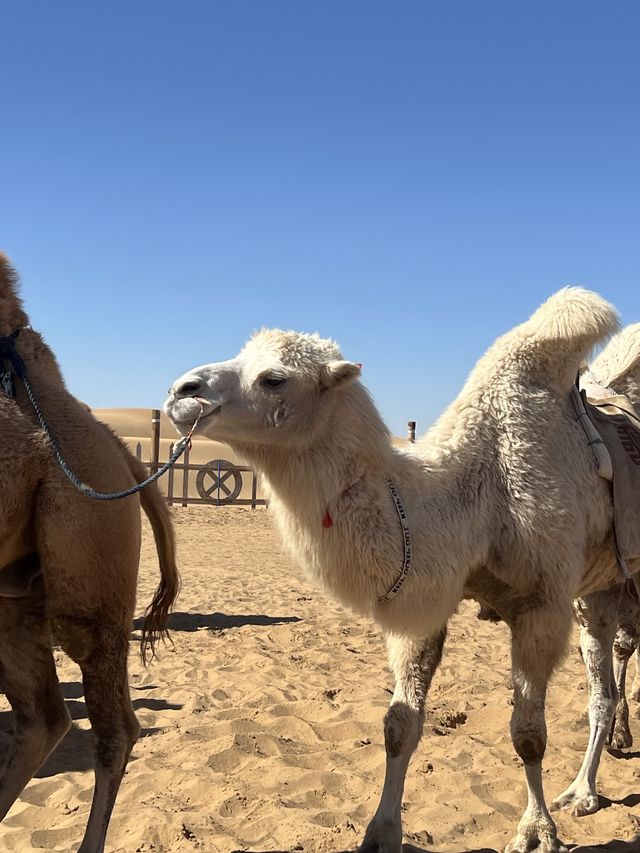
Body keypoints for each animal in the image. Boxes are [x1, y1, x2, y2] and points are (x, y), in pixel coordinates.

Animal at [166, 288, 632, 852]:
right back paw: (585, 789)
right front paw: (380, 831)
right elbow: (398, 724)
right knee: (605, 687)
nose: (181, 390)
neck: (480, 496)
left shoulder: (540, 606)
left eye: (274, 378)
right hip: (600, 592)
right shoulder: (424, 602)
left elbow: (528, 734)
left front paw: (536, 830)